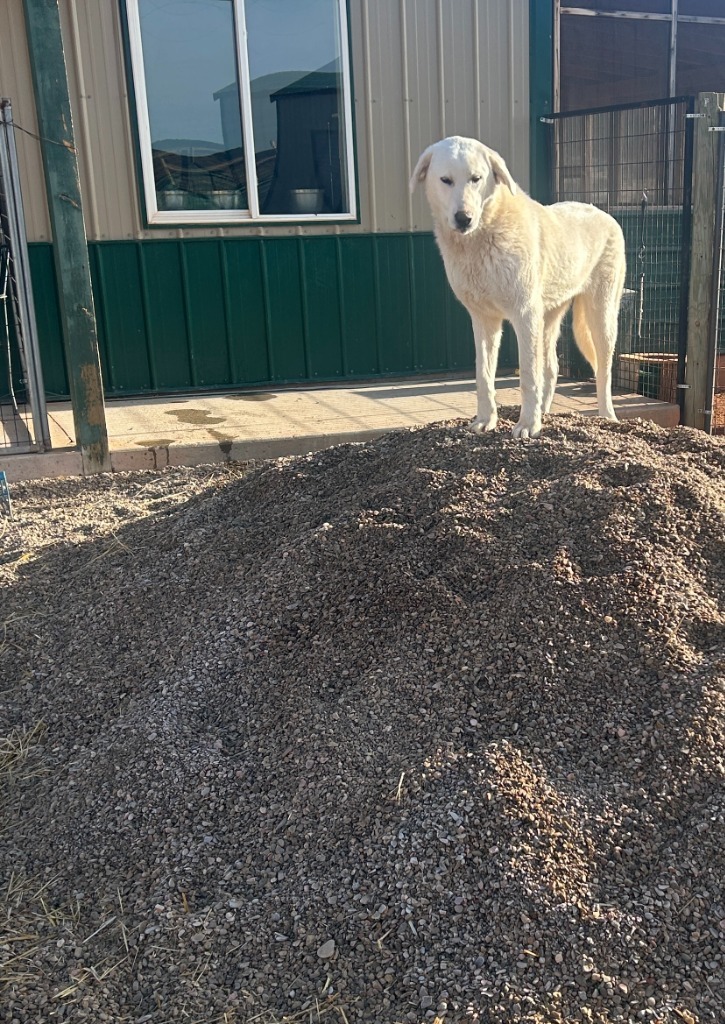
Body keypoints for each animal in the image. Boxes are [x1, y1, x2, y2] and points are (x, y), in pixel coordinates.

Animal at [411, 136, 626, 436]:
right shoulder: (484, 319)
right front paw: (485, 420)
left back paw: (606, 416)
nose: (464, 218)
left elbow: (527, 375)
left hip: (600, 316)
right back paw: (544, 411)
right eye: (446, 180)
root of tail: (603, 213)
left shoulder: (524, 315)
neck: (482, 236)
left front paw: (527, 425)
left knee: (603, 370)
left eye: (476, 178)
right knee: (552, 366)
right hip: (548, 317)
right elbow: (484, 376)